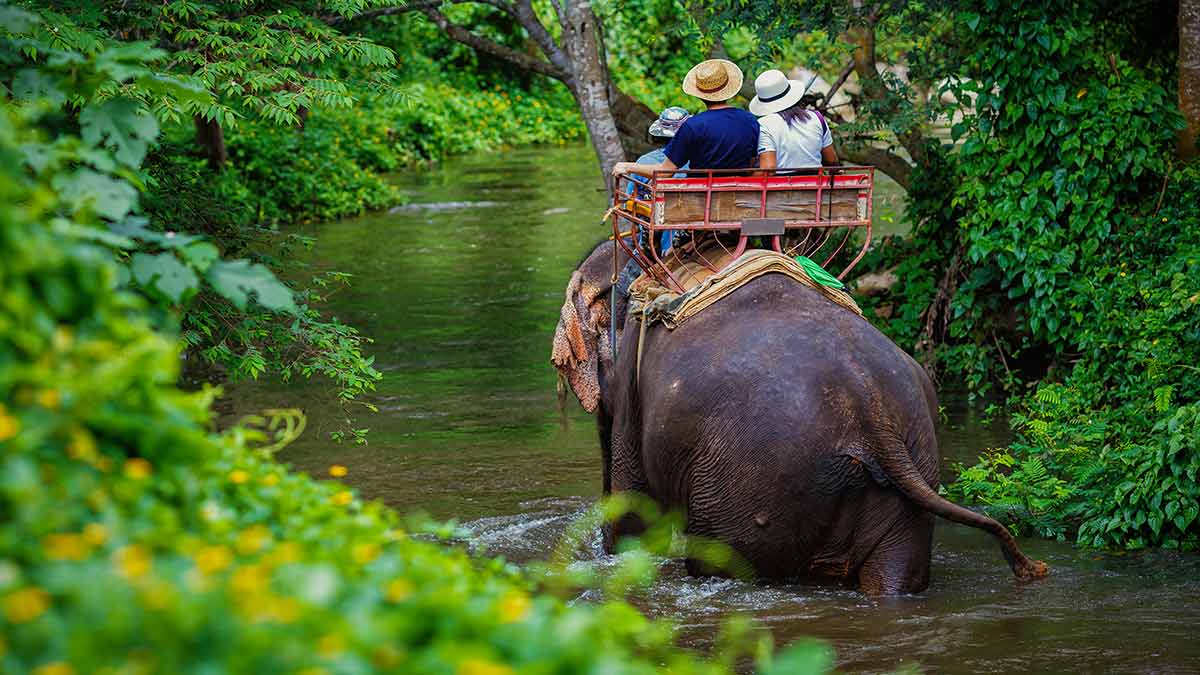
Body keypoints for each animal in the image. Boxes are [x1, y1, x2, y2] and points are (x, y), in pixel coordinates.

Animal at [552, 239, 1051, 590]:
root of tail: (870, 409)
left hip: (744, 484)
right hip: (916, 463)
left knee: (720, 562)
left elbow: (636, 509)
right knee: (895, 577)